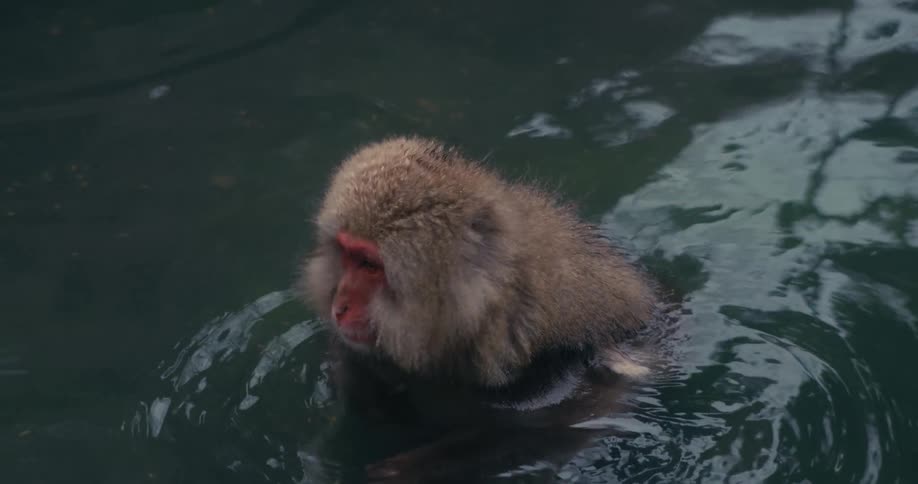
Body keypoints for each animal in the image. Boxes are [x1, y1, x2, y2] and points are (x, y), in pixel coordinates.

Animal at [298, 136, 662, 481]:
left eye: (369, 265)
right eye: (347, 254)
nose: (340, 306)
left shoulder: (554, 376)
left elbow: (552, 431)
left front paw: (403, 470)